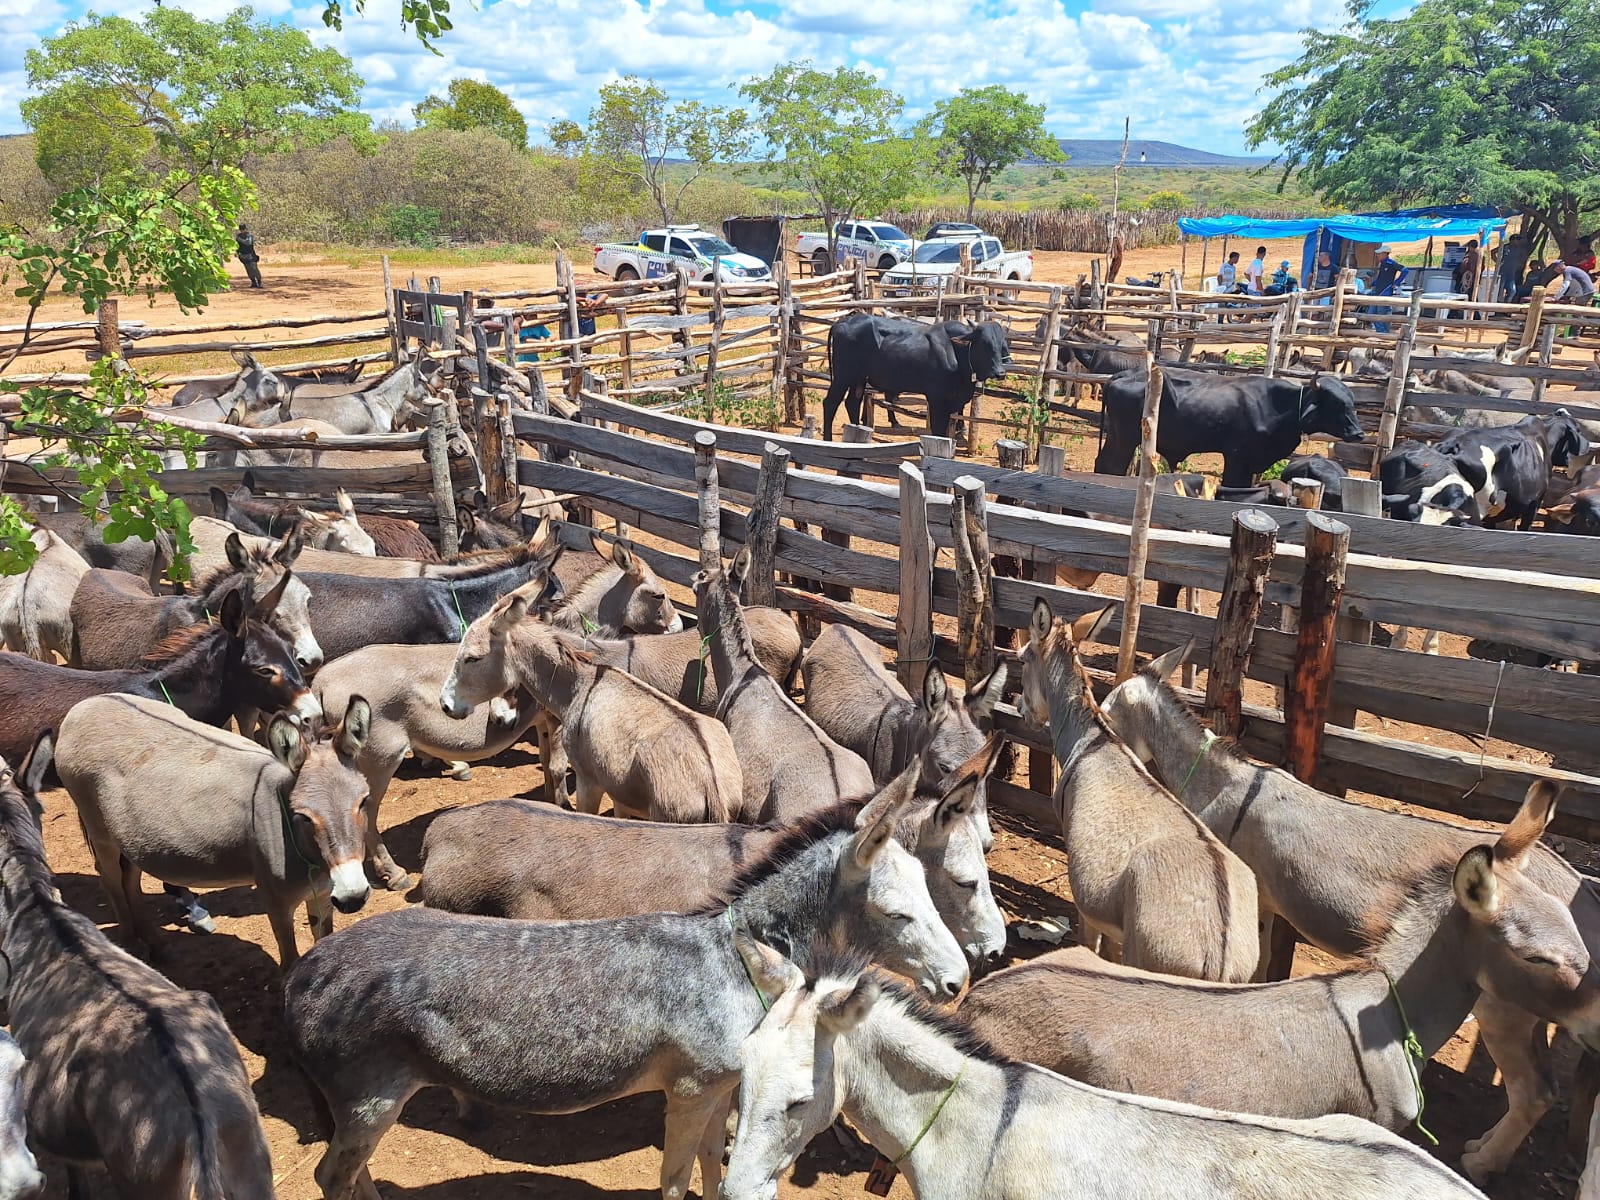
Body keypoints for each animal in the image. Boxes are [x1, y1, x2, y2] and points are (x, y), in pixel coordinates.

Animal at [822, 314, 1013, 440]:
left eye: (1002, 344)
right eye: (984, 343)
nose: (1000, 372)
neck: (956, 351)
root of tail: (842, 322)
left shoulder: (954, 401)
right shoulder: (936, 397)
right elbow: (938, 428)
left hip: (858, 378)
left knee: (852, 403)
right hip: (843, 376)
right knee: (830, 403)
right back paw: (828, 440)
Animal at [1095, 369, 1365, 487]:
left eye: (1352, 402)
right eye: (1336, 403)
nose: (1358, 433)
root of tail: (1123, 374)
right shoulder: (1236, 457)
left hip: (1117, 437)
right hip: (1126, 439)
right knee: (1112, 466)